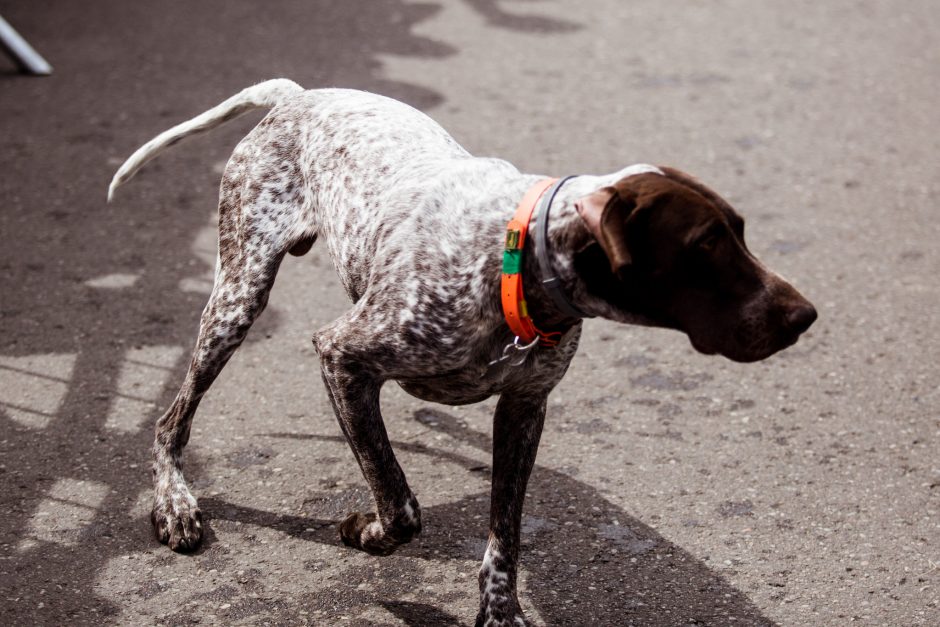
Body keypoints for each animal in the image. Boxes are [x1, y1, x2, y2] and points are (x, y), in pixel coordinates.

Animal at [108, 79, 816, 627]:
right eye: (705, 246)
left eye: (741, 233)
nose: (804, 315)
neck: (513, 263)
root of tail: (299, 95)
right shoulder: (342, 358)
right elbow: (399, 505)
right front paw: (365, 532)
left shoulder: (524, 407)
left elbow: (505, 535)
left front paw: (499, 613)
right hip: (237, 298)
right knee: (171, 420)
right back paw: (174, 502)